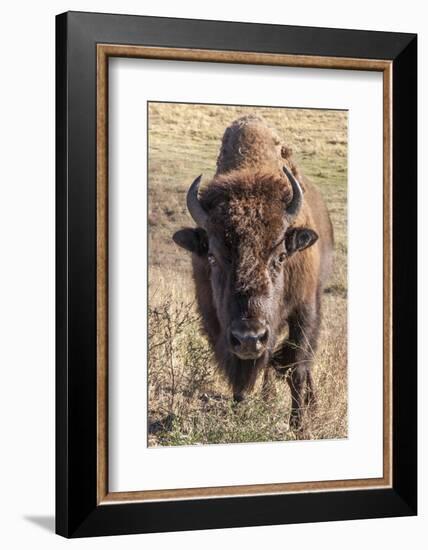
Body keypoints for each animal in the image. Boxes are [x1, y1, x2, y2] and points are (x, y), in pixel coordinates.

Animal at [172, 114, 332, 430]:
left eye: (281, 256)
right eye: (212, 256)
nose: (249, 337)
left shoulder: (305, 309)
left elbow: (298, 368)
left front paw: (299, 425)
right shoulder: (215, 320)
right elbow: (239, 376)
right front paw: (240, 412)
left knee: (303, 365)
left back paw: (312, 406)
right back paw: (267, 399)